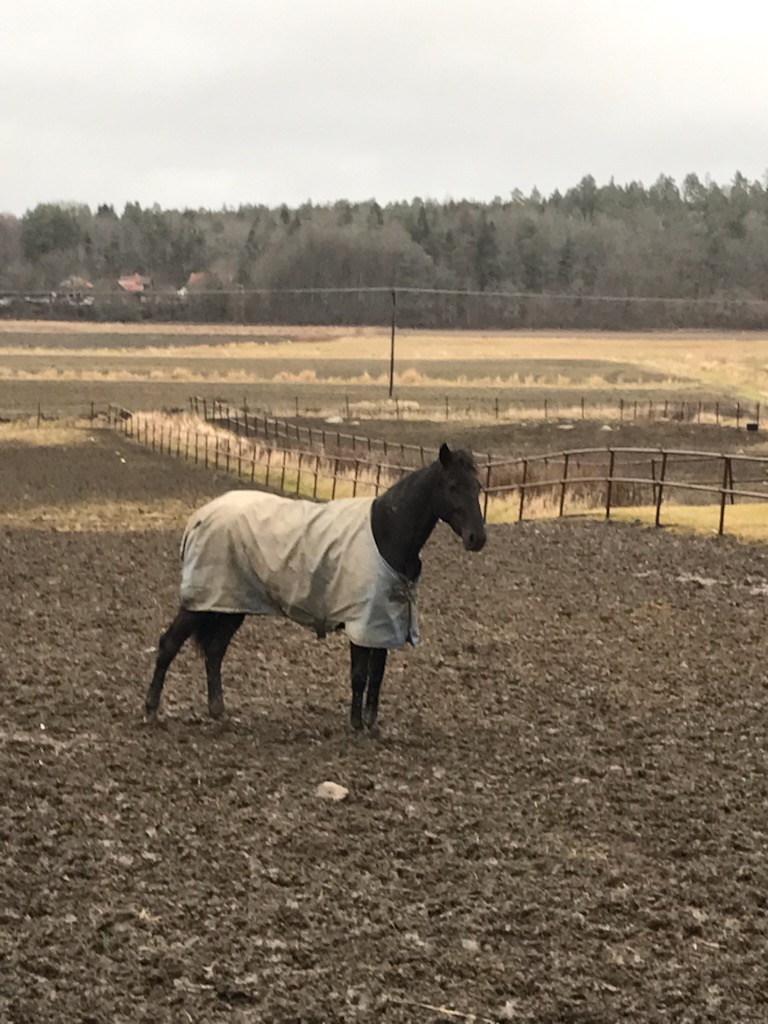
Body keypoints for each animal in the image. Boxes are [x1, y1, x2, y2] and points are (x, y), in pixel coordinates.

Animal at [145, 444, 487, 733]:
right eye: (452, 485)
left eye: (478, 487)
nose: (477, 538)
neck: (385, 532)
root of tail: (199, 517)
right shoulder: (361, 622)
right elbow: (359, 676)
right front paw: (356, 726)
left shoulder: (383, 623)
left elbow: (376, 675)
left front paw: (371, 725)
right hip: (201, 602)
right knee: (169, 644)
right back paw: (151, 710)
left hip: (231, 603)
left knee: (215, 651)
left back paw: (218, 710)